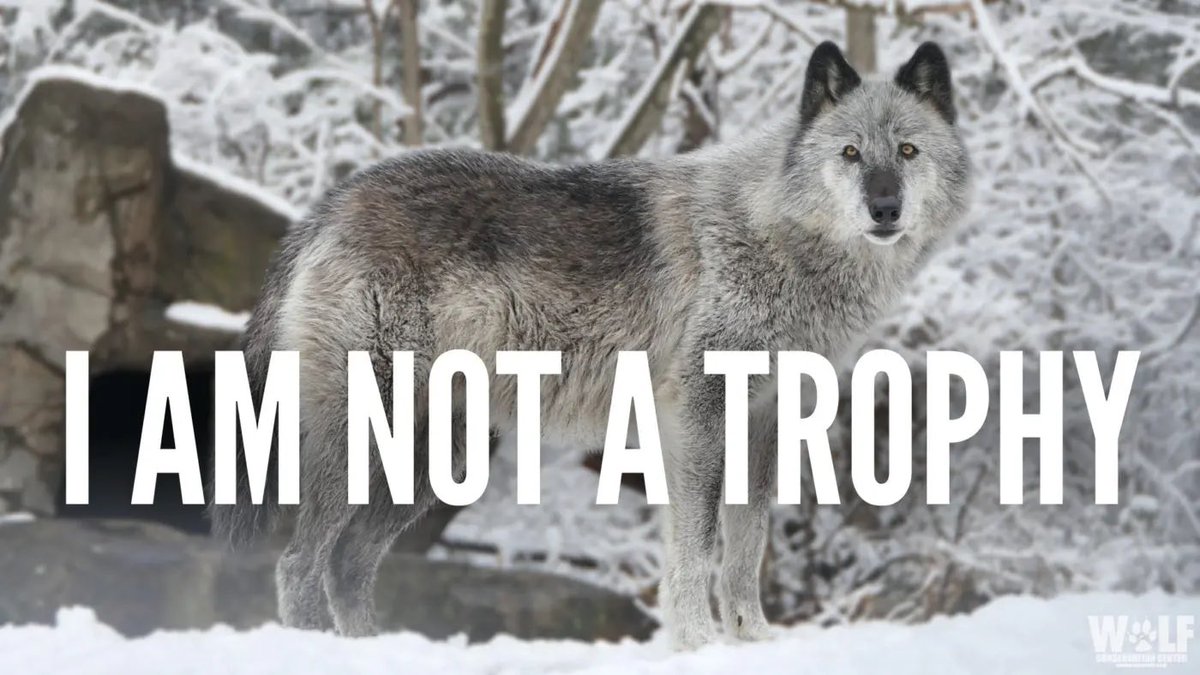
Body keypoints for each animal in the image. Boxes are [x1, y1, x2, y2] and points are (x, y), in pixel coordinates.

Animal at [208, 41, 970, 650]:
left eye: (907, 151)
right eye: (850, 153)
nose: (884, 208)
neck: (777, 238)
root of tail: (329, 204)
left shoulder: (765, 424)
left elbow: (747, 546)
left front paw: (753, 641)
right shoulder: (695, 419)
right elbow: (697, 545)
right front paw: (699, 644)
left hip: (436, 461)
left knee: (346, 564)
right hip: (373, 439)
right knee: (300, 563)